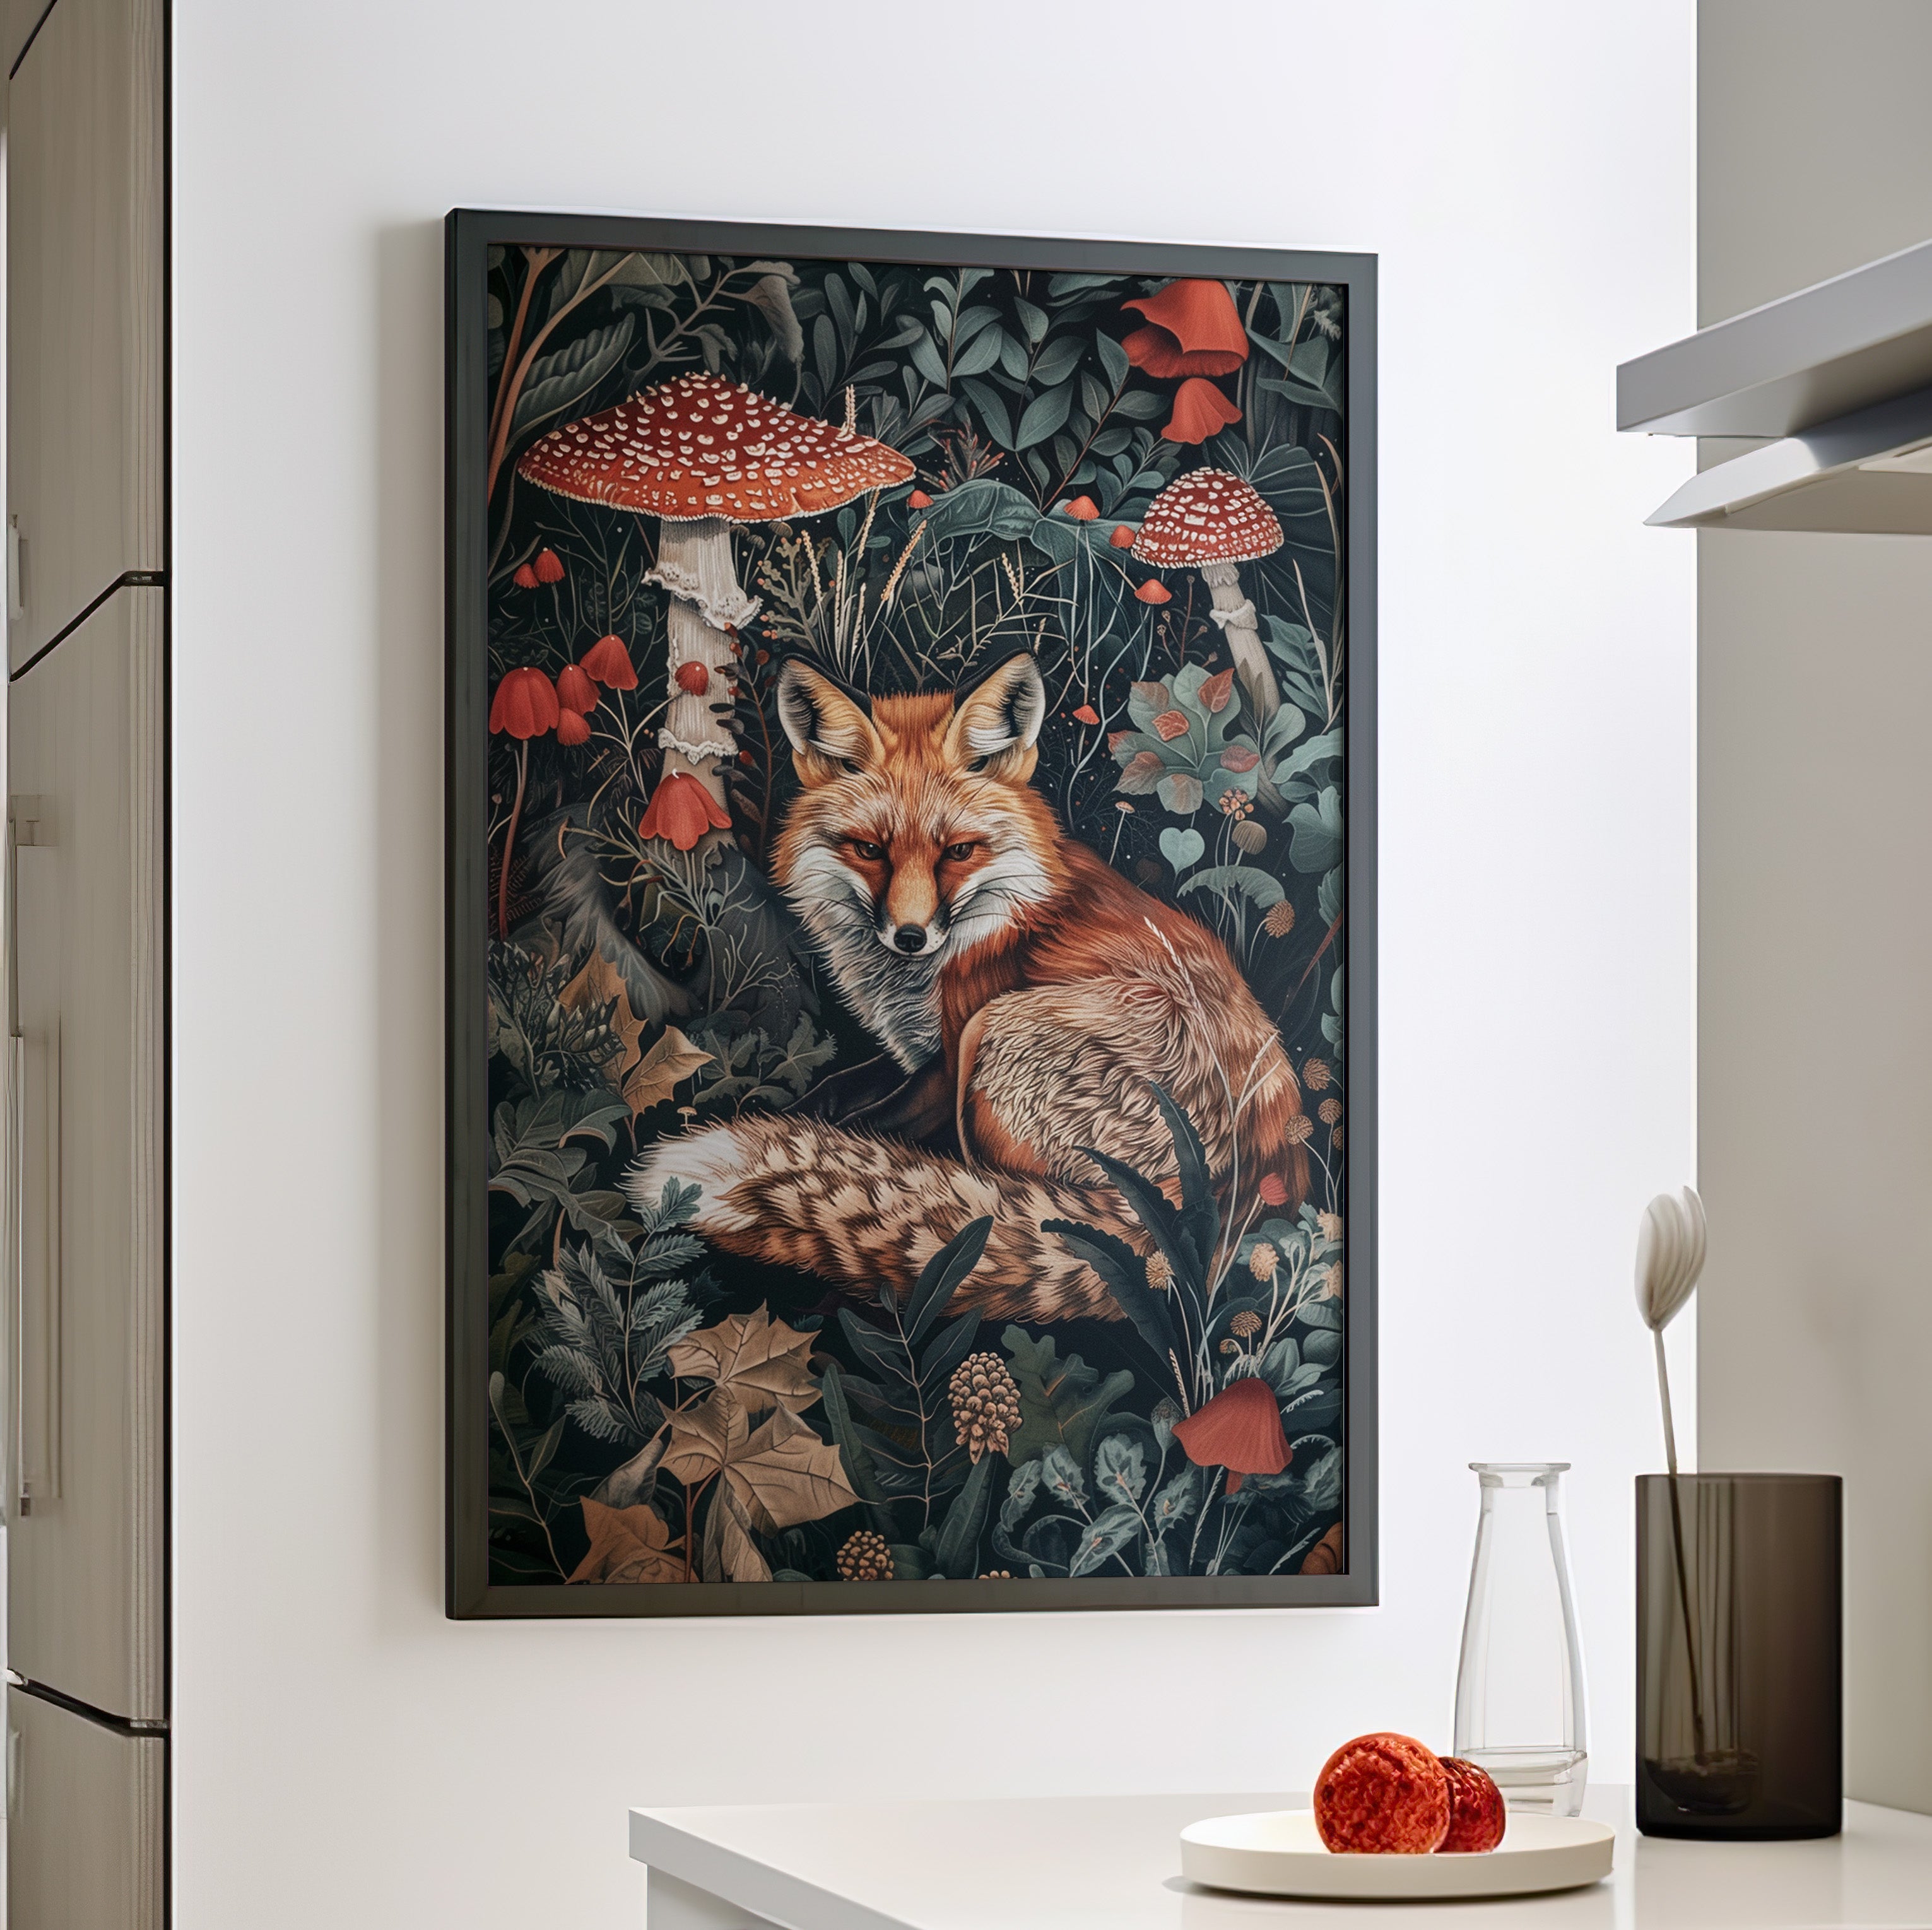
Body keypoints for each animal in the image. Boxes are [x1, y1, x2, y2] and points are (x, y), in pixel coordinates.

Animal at [626, 653, 1310, 1322]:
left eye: (957, 851)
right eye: (869, 849)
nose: (909, 936)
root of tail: (1243, 1190)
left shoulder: (949, 1060)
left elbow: (872, 1122)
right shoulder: (913, 1049)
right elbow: (828, 1094)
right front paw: (783, 1115)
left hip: (1002, 1029)